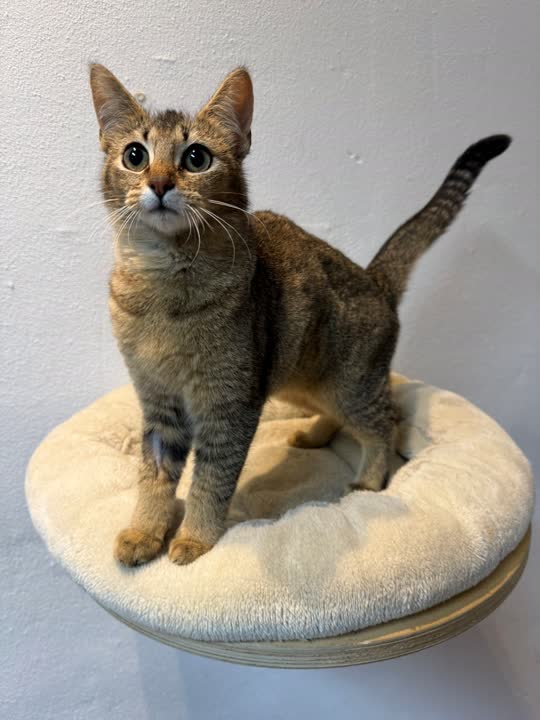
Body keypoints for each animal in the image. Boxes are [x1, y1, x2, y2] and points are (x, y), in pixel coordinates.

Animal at [89, 64, 510, 566]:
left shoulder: (229, 406)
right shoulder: (159, 402)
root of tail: (374, 278)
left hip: (347, 384)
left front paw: (194, 539)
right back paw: (313, 435)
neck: (163, 283)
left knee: (385, 422)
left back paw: (369, 482)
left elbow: (211, 480)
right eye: (135, 155)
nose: (158, 184)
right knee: (348, 412)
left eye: (196, 158)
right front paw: (143, 533)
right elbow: (153, 475)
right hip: (296, 377)